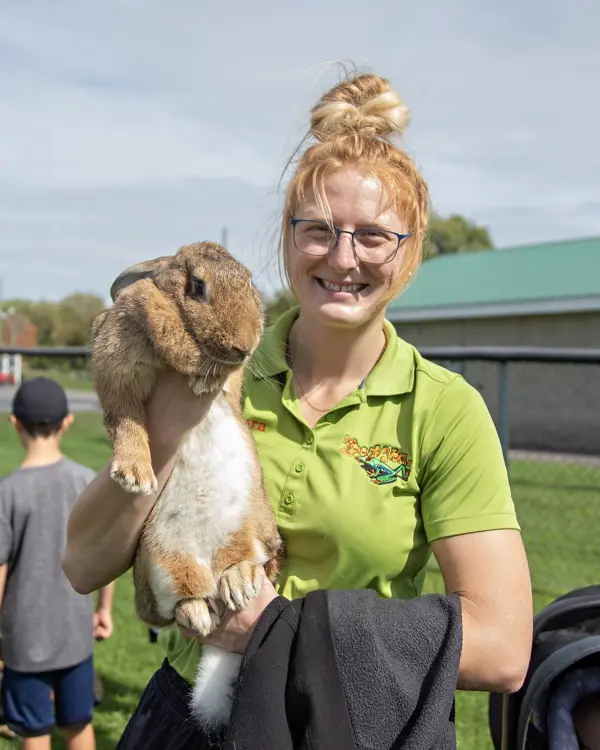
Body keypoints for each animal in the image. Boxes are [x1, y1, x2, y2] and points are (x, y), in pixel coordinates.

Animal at [89, 241, 283, 729]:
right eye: (197, 286)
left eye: (249, 280)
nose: (244, 345)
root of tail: (208, 565)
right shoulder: (117, 366)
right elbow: (126, 422)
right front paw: (134, 475)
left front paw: (205, 377)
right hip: (160, 561)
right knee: (174, 604)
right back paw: (200, 614)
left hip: (247, 529)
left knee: (251, 560)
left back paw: (239, 583)